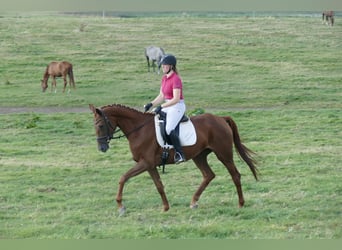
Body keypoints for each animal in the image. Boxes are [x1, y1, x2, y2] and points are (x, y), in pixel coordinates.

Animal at [89, 103, 258, 215]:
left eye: (100, 125)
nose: (102, 148)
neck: (139, 129)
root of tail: (221, 118)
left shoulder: (145, 163)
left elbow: (123, 178)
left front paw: (120, 206)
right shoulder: (150, 166)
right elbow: (159, 185)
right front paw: (165, 207)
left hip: (224, 154)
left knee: (235, 175)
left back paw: (241, 204)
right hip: (199, 156)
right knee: (208, 175)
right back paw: (194, 202)